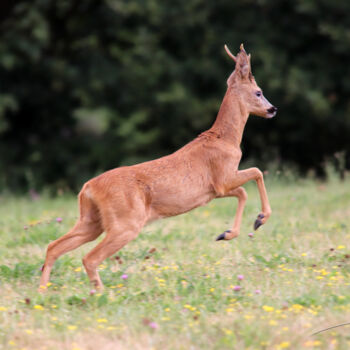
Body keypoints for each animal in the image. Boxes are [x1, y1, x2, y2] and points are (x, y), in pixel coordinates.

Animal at [38, 43, 278, 292]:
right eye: (258, 92)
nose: (273, 109)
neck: (226, 139)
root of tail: (87, 188)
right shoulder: (222, 178)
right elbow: (256, 173)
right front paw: (257, 221)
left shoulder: (215, 190)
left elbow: (243, 191)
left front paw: (229, 233)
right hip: (126, 222)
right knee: (89, 258)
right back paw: (101, 294)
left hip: (92, 220)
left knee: (54, 246)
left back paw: (42, 291)